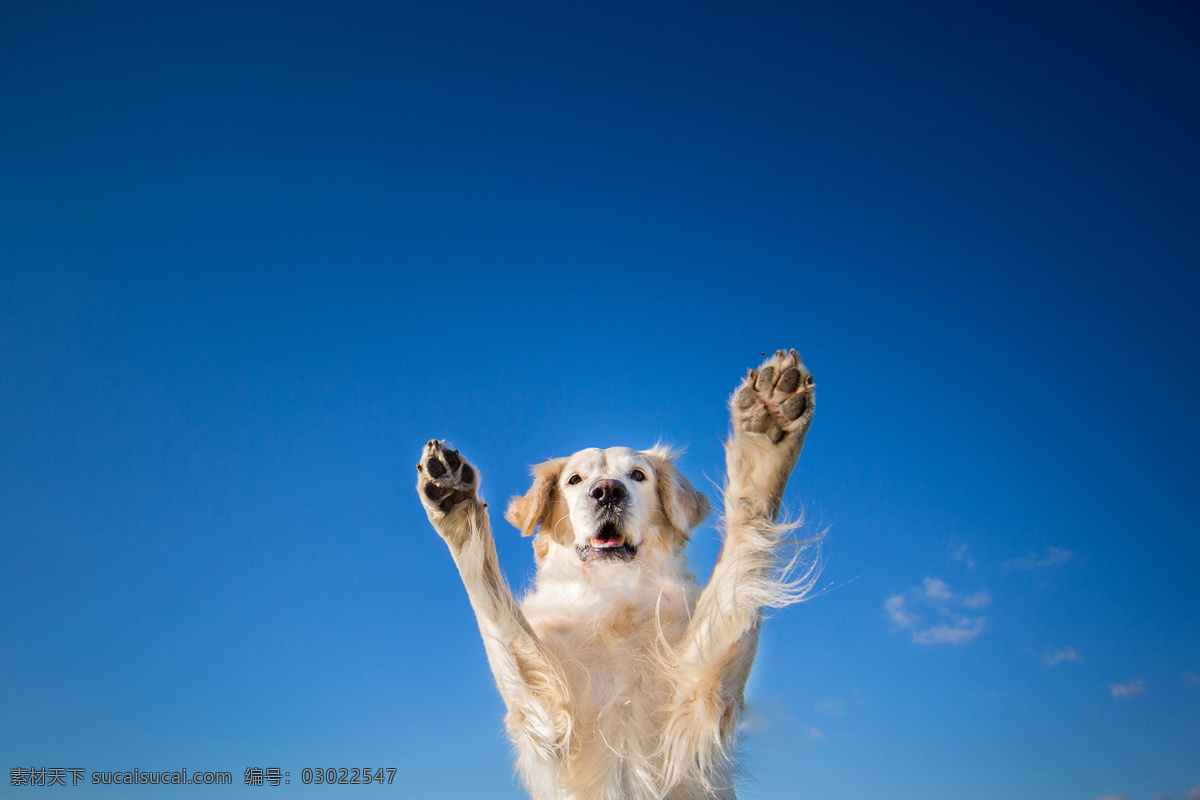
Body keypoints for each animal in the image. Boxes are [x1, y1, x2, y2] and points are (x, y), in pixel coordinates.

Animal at [417, 350, 820, 800]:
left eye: (638, 476)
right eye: (575, 479)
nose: (607, 491)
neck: (612, 593)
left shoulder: (696, 693)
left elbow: (741, 552)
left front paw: (767, 429)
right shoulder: (547, 712)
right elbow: (492, 603)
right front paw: (456, 503)